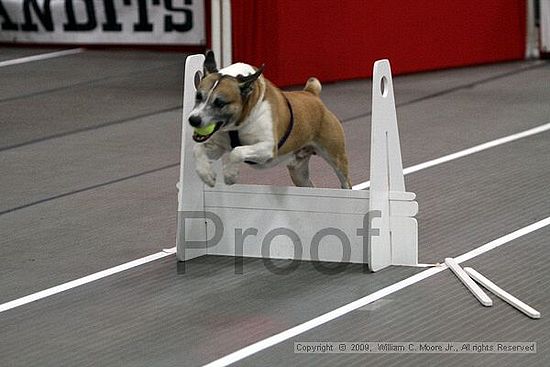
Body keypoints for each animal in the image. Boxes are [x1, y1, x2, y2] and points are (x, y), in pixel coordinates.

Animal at [190, 51, 354, 190]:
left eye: (220, 103)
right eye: (198, 96)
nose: (193, 120)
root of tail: (311, 94)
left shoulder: (267, 147)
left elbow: (237, 151)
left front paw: (230, 175)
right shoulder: (218, 147)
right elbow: (197, 148)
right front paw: (207, 175)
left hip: (337, 158)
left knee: (345, 181)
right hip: (299, 173)